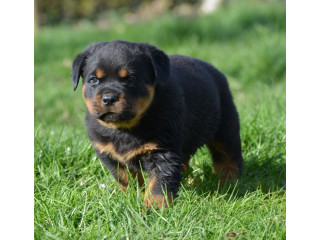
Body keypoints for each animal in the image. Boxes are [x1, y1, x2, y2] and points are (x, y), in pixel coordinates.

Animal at [72, 40, 242, 208]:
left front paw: (154, 209)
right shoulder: (109, 155)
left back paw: (229, 184)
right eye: (94, 80)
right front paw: (134, 197)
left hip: (226, 126)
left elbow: (159, 185)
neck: (124, 128)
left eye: (131, 79)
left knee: (228, 157)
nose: (109, 98)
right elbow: (126, 179)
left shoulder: (162, 152)